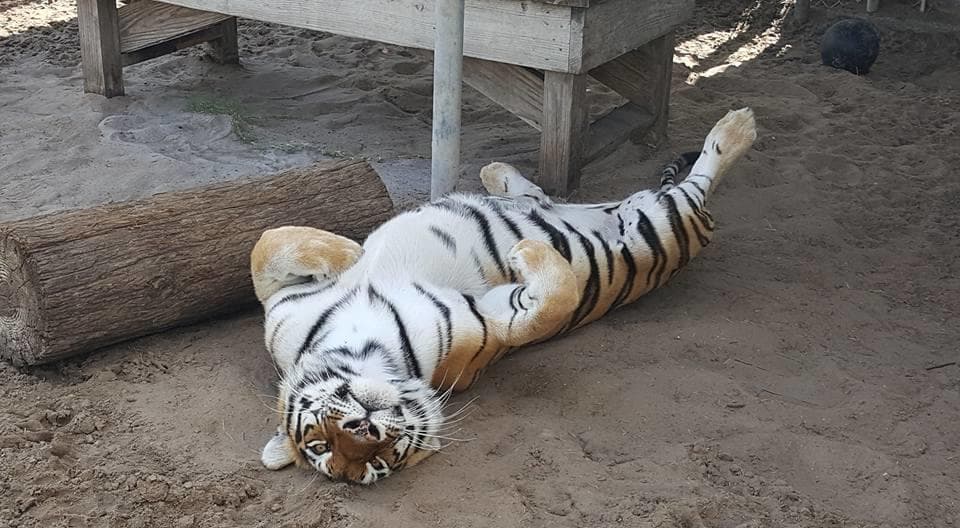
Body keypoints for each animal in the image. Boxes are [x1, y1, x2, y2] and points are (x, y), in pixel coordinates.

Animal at [251, 108, 757, 484]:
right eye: (371, 462)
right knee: (694, 185)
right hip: (666, 222)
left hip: (658, 215)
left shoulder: (282, 306)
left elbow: (265, 246)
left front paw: (349, 250)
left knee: (691, 176)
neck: (369, 345)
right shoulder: (490, 322)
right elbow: (552, 305)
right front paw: (529, 253)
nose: (366, 428)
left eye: (320, 442)